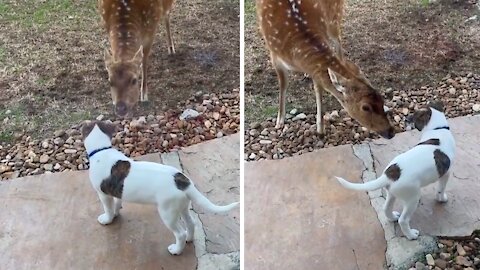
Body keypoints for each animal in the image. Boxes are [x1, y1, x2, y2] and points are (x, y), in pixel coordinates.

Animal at [83, 121, 240, 254]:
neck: (101, 150)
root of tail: (184, 182)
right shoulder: (116, 191)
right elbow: (117, 203)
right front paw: (116, 213)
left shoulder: (103, 194)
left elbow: (108, 208)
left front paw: (107, 219)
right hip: (182, 206)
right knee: (191, 223)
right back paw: (189, 239)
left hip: (167, 213)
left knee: (180, 233)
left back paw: (176, 250)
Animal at [256, 0, 396, 139]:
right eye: (365, 107)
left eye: (382, 99)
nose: (391, 131)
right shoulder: (274, 56)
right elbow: (283, 84)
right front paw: (279, 121)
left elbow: (319, 87)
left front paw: (320, 129)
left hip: (335, 14)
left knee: (338, 42)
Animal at [334, 102, 454, 239]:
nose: (406, 119)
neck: (438, 129)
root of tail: (388, 175)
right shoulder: (446, 173)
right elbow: (441, 189)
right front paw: (442, 199)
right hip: (412, 198)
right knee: (403, 220)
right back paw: (411, 235)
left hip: (392, 193)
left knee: (386, 209)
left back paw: (392, 218)